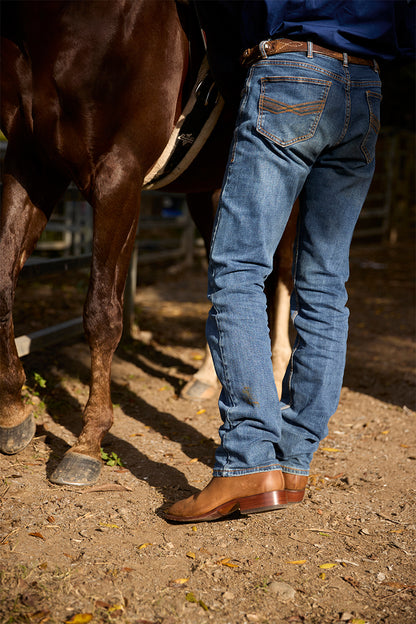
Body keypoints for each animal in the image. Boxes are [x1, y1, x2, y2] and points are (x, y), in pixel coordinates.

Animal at [0, 0, 296, 486]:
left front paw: (87, 444)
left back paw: (275, 369)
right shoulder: (32, 161)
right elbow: (4, 286)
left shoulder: (118, 174)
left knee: (285, 269)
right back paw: (205, 378)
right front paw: (13, 412)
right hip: (210, 192)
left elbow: (102, 313)